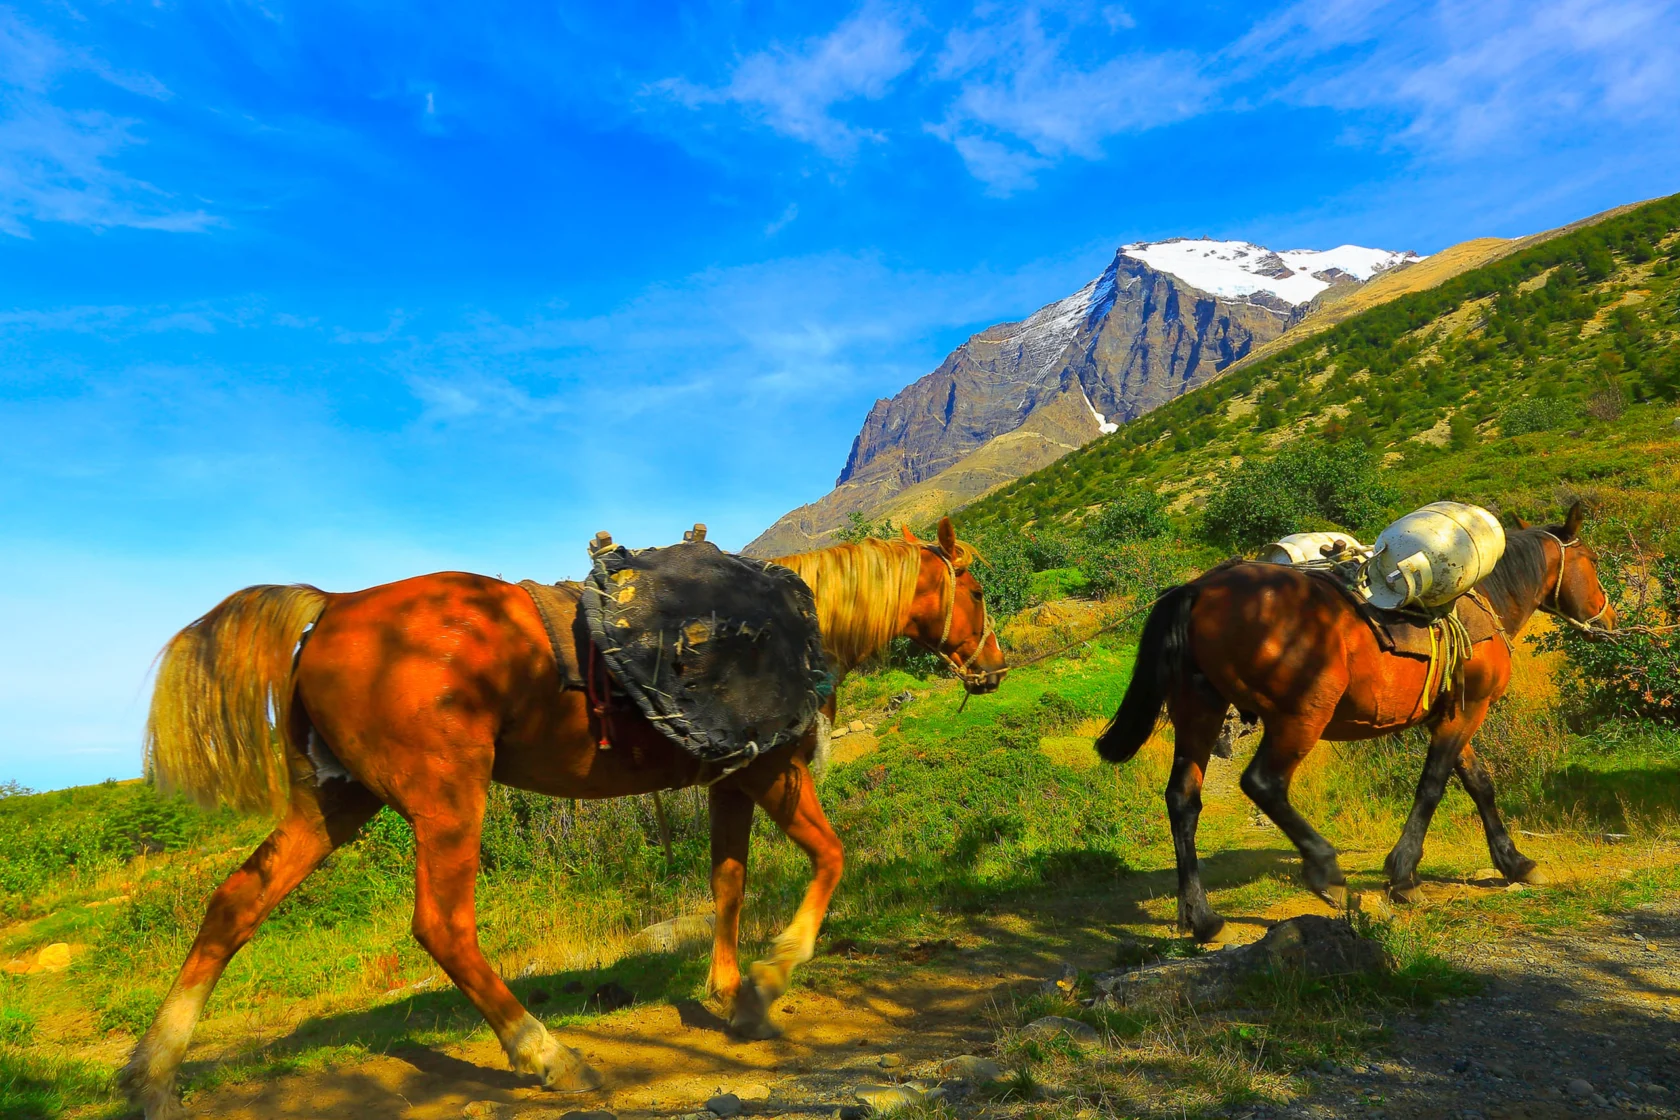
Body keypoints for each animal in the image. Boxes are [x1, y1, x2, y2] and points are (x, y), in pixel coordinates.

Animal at [127, 520, 1007, 1120]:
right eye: (975, 591)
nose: (993, 666)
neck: (797, 622)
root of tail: (335, 606)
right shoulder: (772, 771)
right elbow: (830, 857)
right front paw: (770, 977)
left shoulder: (729, 779)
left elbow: (727, 880)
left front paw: (729, 992)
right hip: (448, 797)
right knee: (443, 926)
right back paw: (548, 1055)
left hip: (335, 801)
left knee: (235, 902)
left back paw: (153, 1070)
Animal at [1095, 503, 1606, 940]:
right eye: (1593, 561)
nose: (1607, 617)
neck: (1488, 599)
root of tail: (1199, 588)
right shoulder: (1467, 710)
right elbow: (1434, 785)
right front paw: (1403, 875)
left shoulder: (1451, 714)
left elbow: (1479, 783)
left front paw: (1514, 861)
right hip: (1301, 717)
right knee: (1263, 783)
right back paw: (1327, 872)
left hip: (1199, 711)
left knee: (1183, 799)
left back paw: (1202, 919)